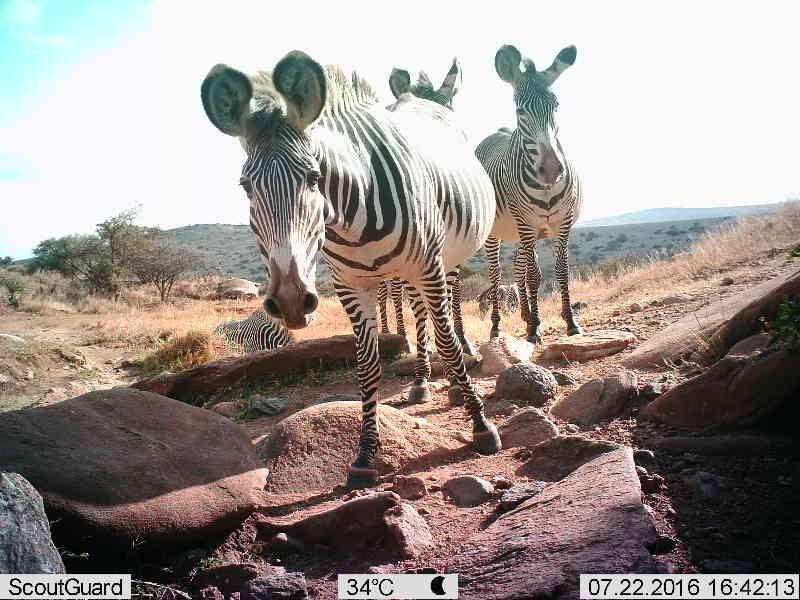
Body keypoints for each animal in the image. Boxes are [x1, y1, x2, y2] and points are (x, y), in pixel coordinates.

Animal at [200, 48, 500, 488]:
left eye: (313, 178)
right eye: (245, 186)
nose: (290, 302)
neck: (350, 219)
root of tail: (427, 100)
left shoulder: (429, 265)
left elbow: (445, 340)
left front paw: (481, 425)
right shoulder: (350, 285)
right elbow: (368, 367)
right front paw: (364, 455)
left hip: (446, 258)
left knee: (451, 310)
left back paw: (460, 371)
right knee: (420, 313)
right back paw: (422, 381)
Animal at [478, 44, 584, 344]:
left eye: (556, 105)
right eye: (520, 111)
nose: (550, 170)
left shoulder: (562, 222)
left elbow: (560, 270)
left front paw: (570, 321)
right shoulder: (527, 224)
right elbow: (535, 275)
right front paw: (535, 327)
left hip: (521, 232)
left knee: (518, 266)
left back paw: (525, 315)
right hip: (498, 233)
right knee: (496, 273)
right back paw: (497, 326)